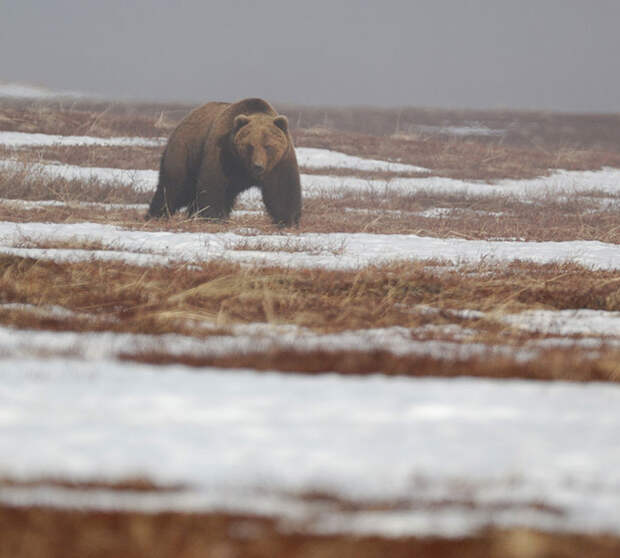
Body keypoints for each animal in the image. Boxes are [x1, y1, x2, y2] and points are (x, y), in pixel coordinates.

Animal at [145, 98, 300, 228]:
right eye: (250, 146)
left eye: (268, 146)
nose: (258, 166)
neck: (243, 166)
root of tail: (184, 120)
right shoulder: (222, 154)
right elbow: (213, 185)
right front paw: (213, 218)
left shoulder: (280, 162)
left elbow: (283, 190)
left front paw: (288, 221)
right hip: (185, 153)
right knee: (173, 188)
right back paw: (155, 215)